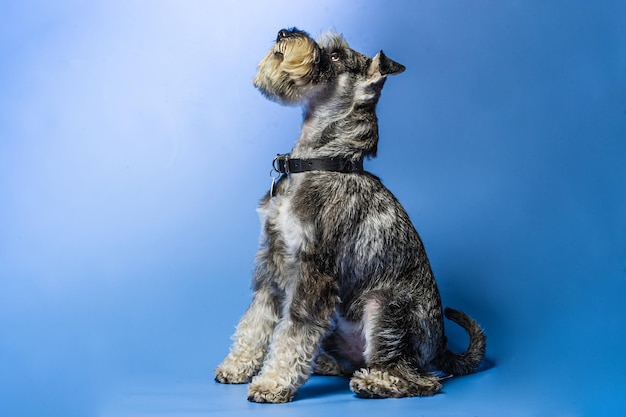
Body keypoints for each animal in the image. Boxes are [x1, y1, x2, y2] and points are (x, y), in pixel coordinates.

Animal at [214, 26, 482, 404]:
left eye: (337, 55)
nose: (285, 32)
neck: (321, 159)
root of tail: (442, 345)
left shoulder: (314, 273)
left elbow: (293, 330)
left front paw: (272, 383)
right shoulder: (272, 262)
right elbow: (257, 320)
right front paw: (238, 366)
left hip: (385, 309)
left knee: (420, 378)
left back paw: (373, 383)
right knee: (353, 360)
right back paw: (327, 365)